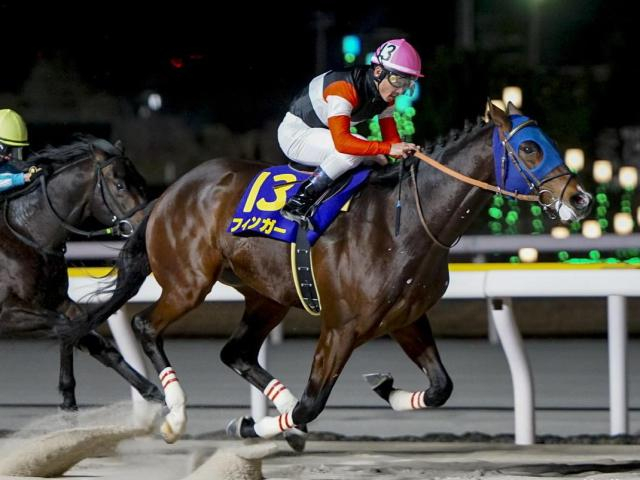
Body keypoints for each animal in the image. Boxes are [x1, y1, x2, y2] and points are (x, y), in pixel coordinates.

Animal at [0, 136, 163, 411]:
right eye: (119, 185)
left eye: (141, 181)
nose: (146, 223)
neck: (28, 235)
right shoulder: (6, 312)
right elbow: (66, 328)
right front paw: (67, 396)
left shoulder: (59, 300)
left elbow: (89, 336)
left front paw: (153, 392)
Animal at [73, 102, 592, 447]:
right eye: (530, 147)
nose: (582, 198)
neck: (403, 222)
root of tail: (168, 194)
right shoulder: (341, 327)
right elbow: (313, 402)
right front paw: (251, 424)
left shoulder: (405, 318)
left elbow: (440, 388)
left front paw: (385, 388)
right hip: (188, 283)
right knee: (146, 325)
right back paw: (176, 413)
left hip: (267, 295)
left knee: (235, 351)